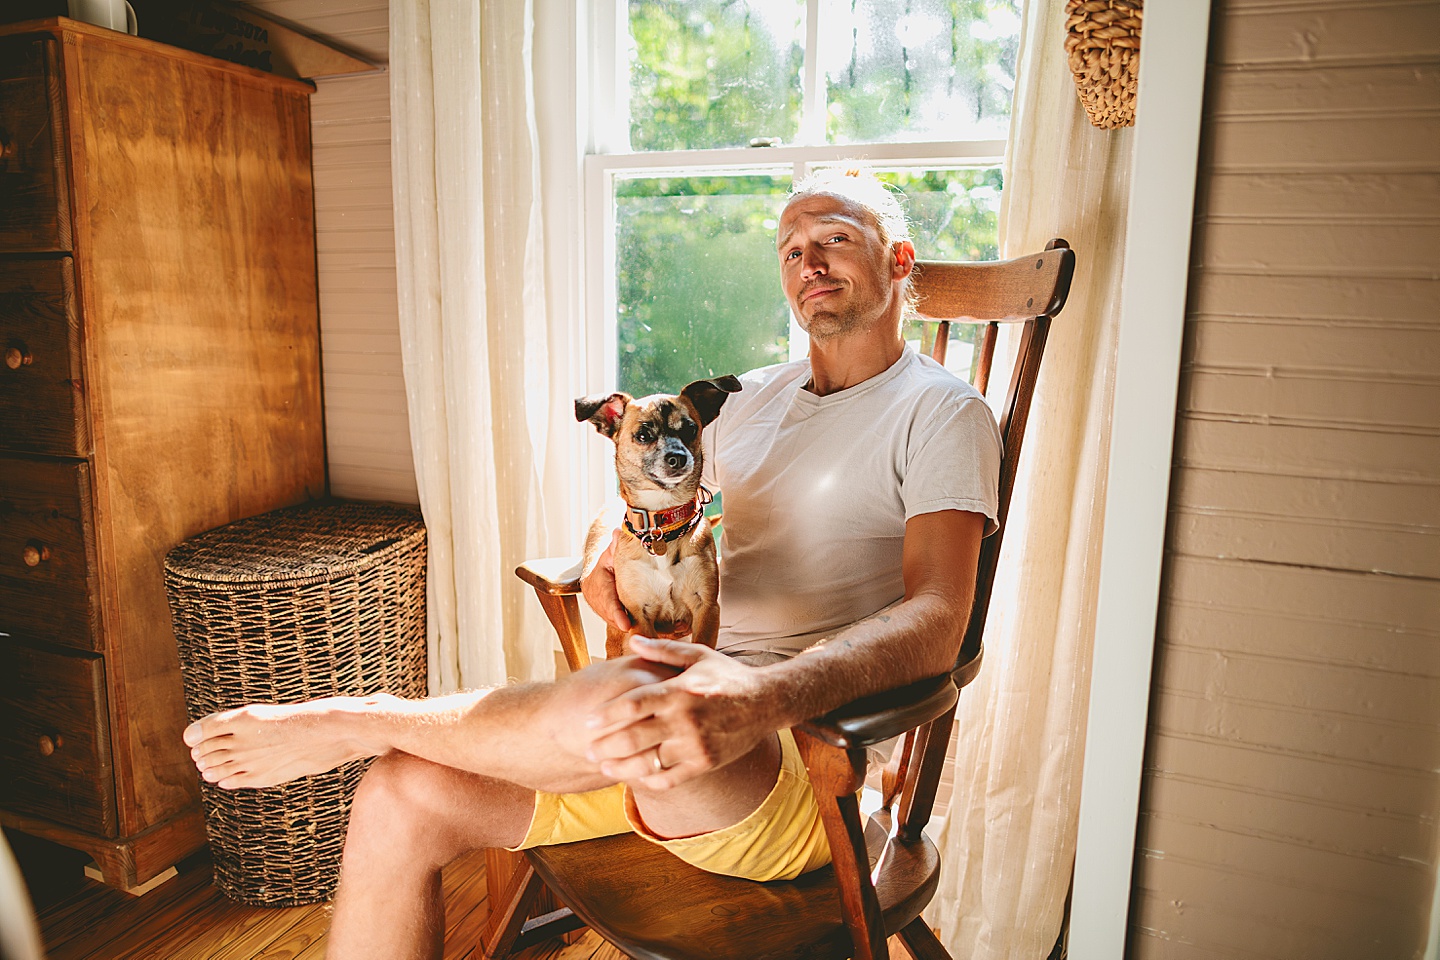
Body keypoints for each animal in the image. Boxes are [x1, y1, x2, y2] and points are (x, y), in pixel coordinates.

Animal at [576, 374, 743, 662]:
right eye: (643, 435)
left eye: (690, 429)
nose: (677, 457)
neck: (663, 522)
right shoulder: (639, 617)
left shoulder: (706, 609)